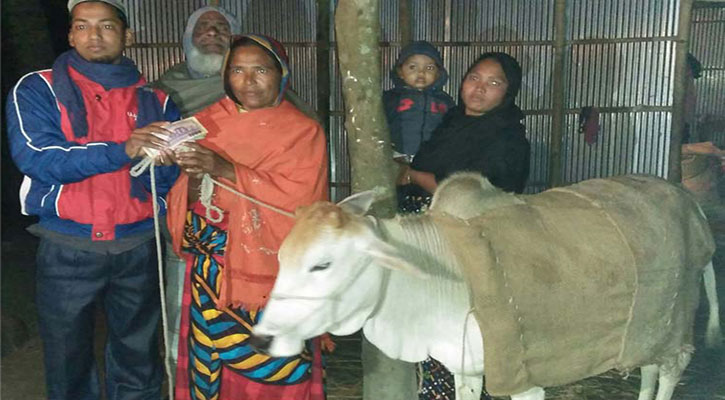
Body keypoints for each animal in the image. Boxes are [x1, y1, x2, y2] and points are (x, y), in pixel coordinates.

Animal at [252, 174, 720, 400]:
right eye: (282, 258)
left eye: (321, 264)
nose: (262, 336)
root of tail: (690, 203)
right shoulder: (466, 368)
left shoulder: (524, 378)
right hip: (650, 329)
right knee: (648, 368)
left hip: (678, 328)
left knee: (671, 370)